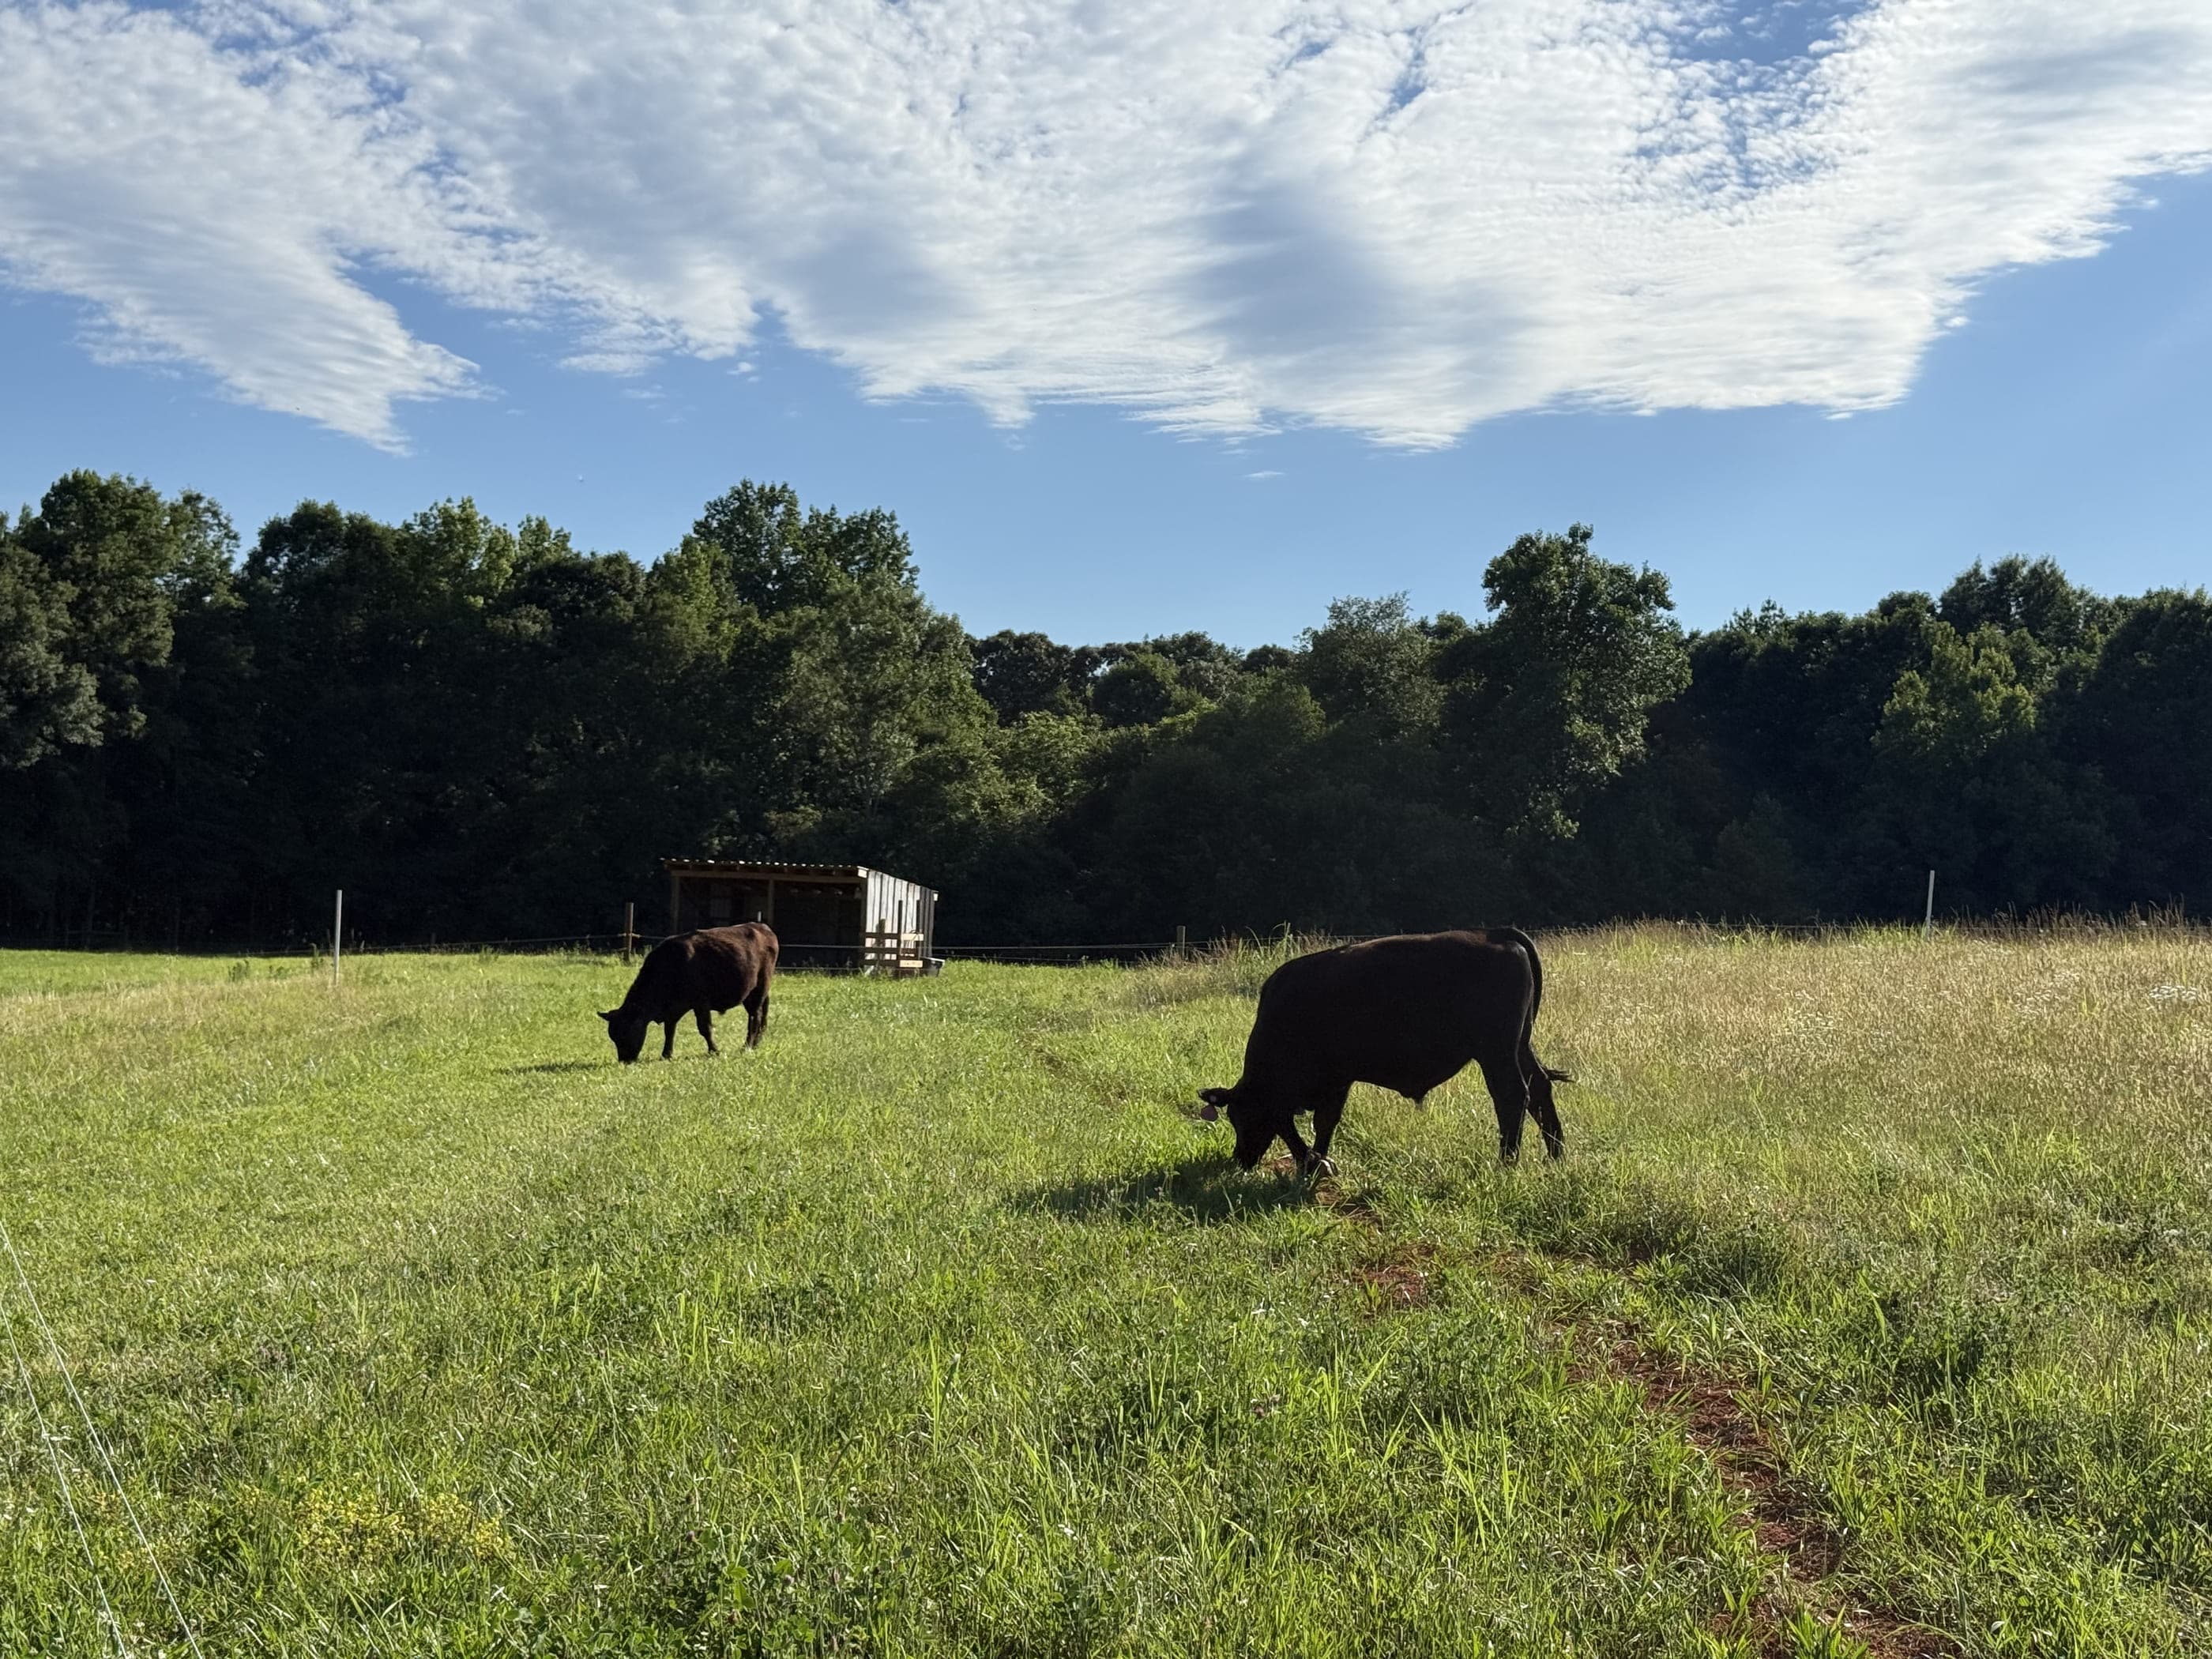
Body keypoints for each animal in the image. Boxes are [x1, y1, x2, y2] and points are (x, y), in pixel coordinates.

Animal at [599, 923, 777, 1063]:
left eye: (626, 1032)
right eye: (613, 1036)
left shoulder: (701, 1003)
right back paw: (756, 1043)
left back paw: (747, 1046)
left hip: (759, 990)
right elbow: (669, 1030)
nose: (624, 1060)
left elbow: (705, 1028)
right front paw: (666, 1054)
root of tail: (763, 928)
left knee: (755, 1017)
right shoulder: (673, 1009)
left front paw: (714, 1051)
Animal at [1197, 928, 1570, 1175]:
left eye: (1241, 1117)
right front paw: (1318, 1161)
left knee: (1512, 1096)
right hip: (1520, 1045)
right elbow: (1315, 1124)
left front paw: (1314, 1163)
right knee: (1539, 1088)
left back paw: (1506, 1162)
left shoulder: (1335, 1079)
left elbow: (1315, 1122)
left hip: (1496, 1051)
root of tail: (1493, 934)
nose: (1240, 1159)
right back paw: (1556, 1156)